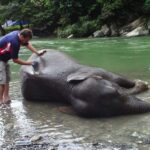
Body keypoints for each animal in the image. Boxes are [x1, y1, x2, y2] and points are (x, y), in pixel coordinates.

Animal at [19, 49, 150, 117]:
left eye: (116, 91)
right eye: (107, 114)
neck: (68, 87)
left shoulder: (91, 70)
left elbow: (118, 78)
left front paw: (143, 83)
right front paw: (142, 84)